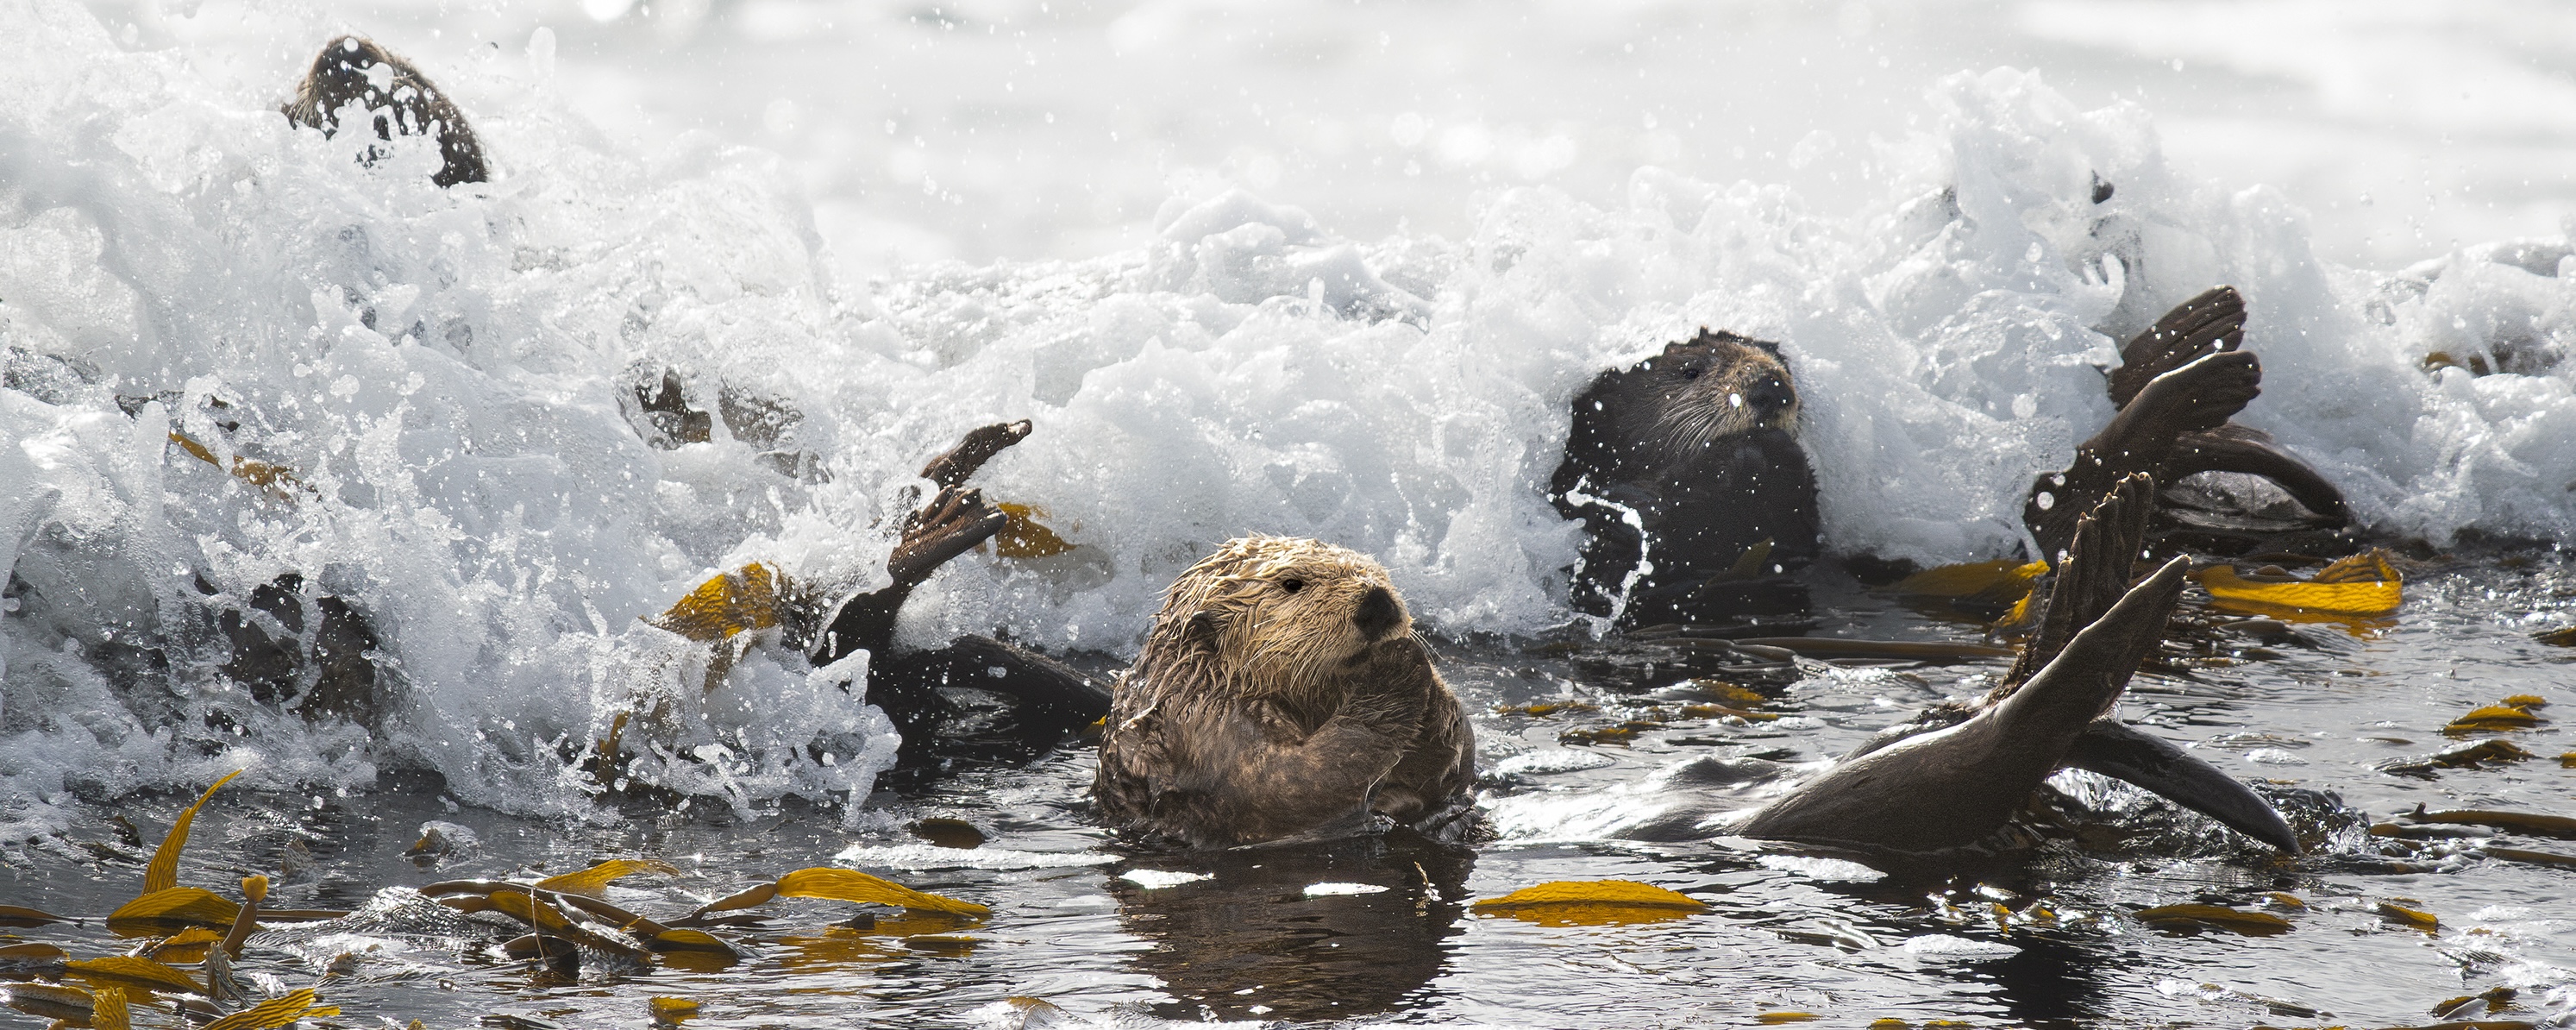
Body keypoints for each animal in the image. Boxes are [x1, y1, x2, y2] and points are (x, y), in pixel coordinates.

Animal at [1092, 537, 1476, 849]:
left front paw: (1426, 674)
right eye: (1292, 584)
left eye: (1375, 571)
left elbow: (1450, 774)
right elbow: (1288, 786)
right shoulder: (1207, 729)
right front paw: (1397, 665)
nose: (1378, 602)